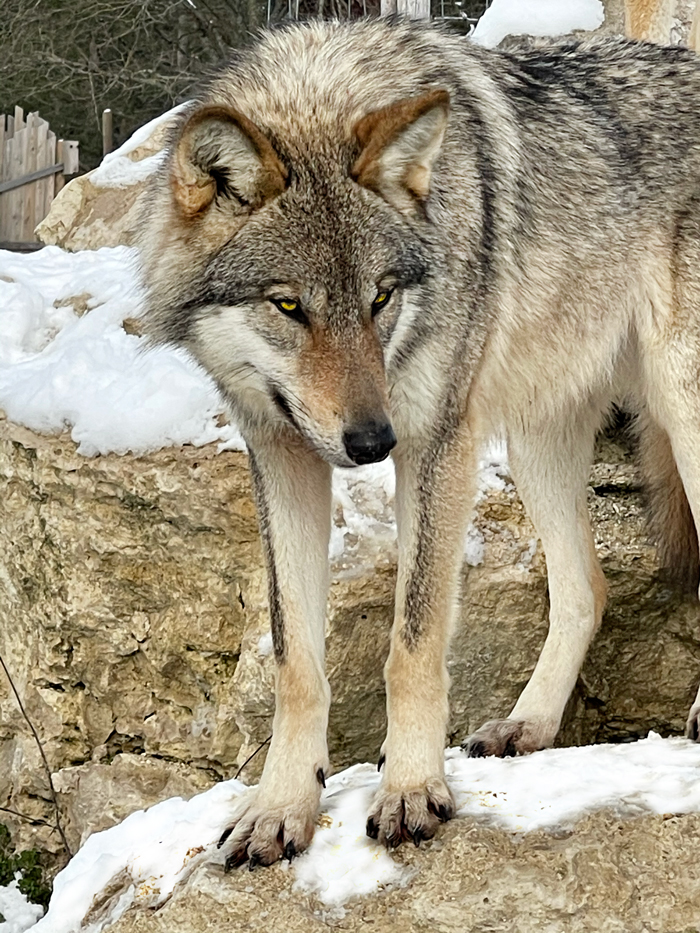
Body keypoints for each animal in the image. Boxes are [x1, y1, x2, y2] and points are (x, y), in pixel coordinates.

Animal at [139, 18, 700, 868]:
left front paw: (409, 789)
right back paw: (529, 724)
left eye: (380, 297)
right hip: (538, 437)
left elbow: (413, 641)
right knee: (586, 590)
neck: (322, 92)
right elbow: (295, 659)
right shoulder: (281, 453)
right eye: (289, 305)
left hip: (680, 402)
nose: (373, 440)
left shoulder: (437, 439)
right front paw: (279, 807)